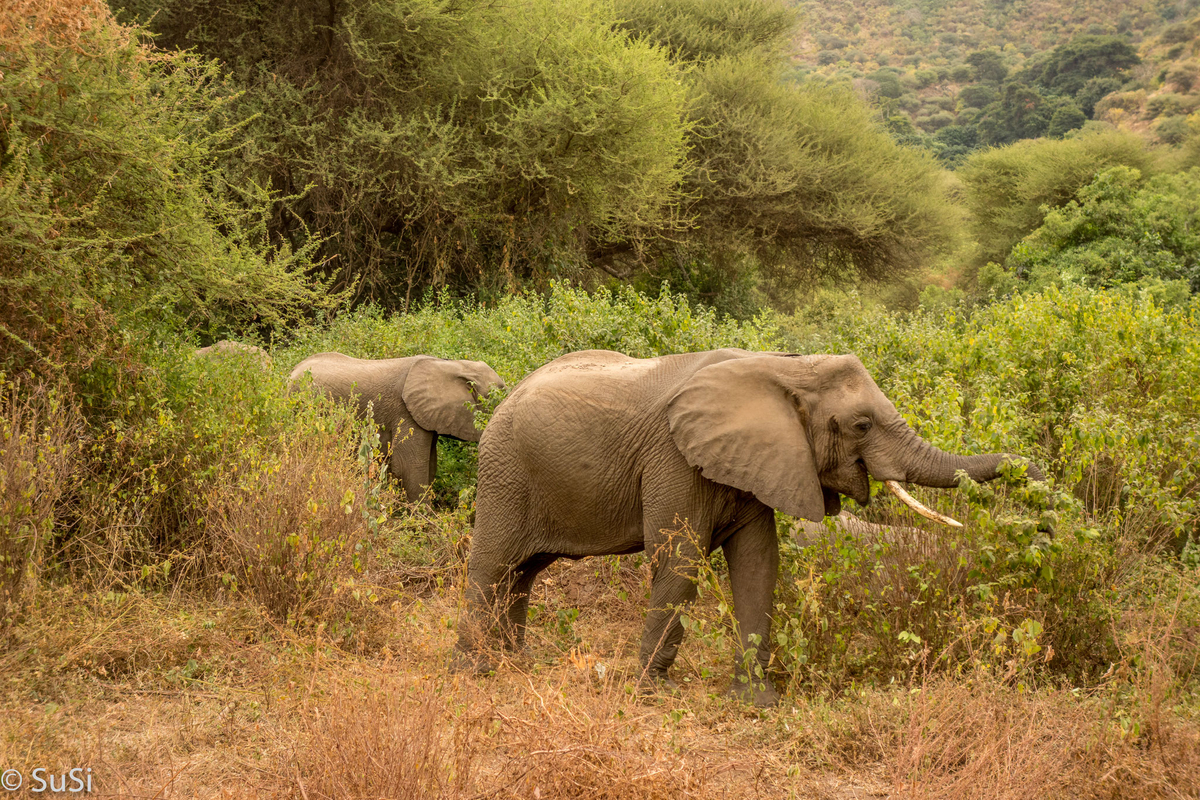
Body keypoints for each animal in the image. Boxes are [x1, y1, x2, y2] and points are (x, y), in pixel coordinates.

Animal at [453, 347, 1046, 705]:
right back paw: (476, 672)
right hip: (504, 470)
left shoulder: (764, 460)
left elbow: (759, 562)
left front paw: (758, 703)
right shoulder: (675, 458)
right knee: (493, 564)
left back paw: (515, 662)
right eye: (861, 426)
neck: (786, 368)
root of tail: (503, 399)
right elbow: (680, 558)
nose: (1040, 504)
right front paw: (654, 693)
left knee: (524, 572)